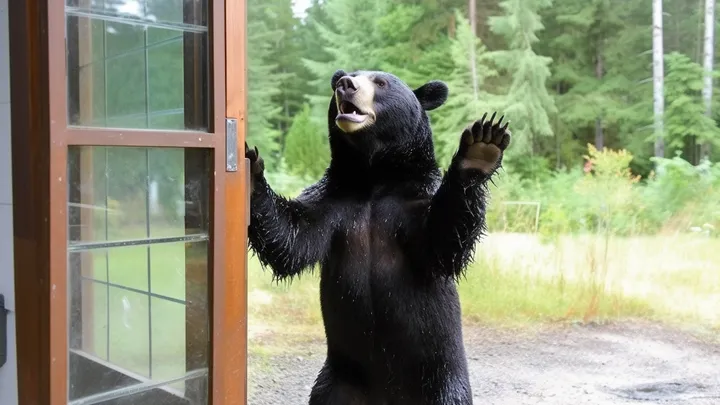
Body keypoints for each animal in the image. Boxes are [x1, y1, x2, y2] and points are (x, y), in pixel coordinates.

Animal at [244, 69, 511, 405]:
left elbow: (443, 242)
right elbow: (292, 238)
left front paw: (480, 148)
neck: (374, 179)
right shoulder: (333, 204)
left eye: (380, 82)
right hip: (338, 383)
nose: (346, 84)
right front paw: (250, 173)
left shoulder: (412, 204)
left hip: (440, 381)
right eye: (345, 77)